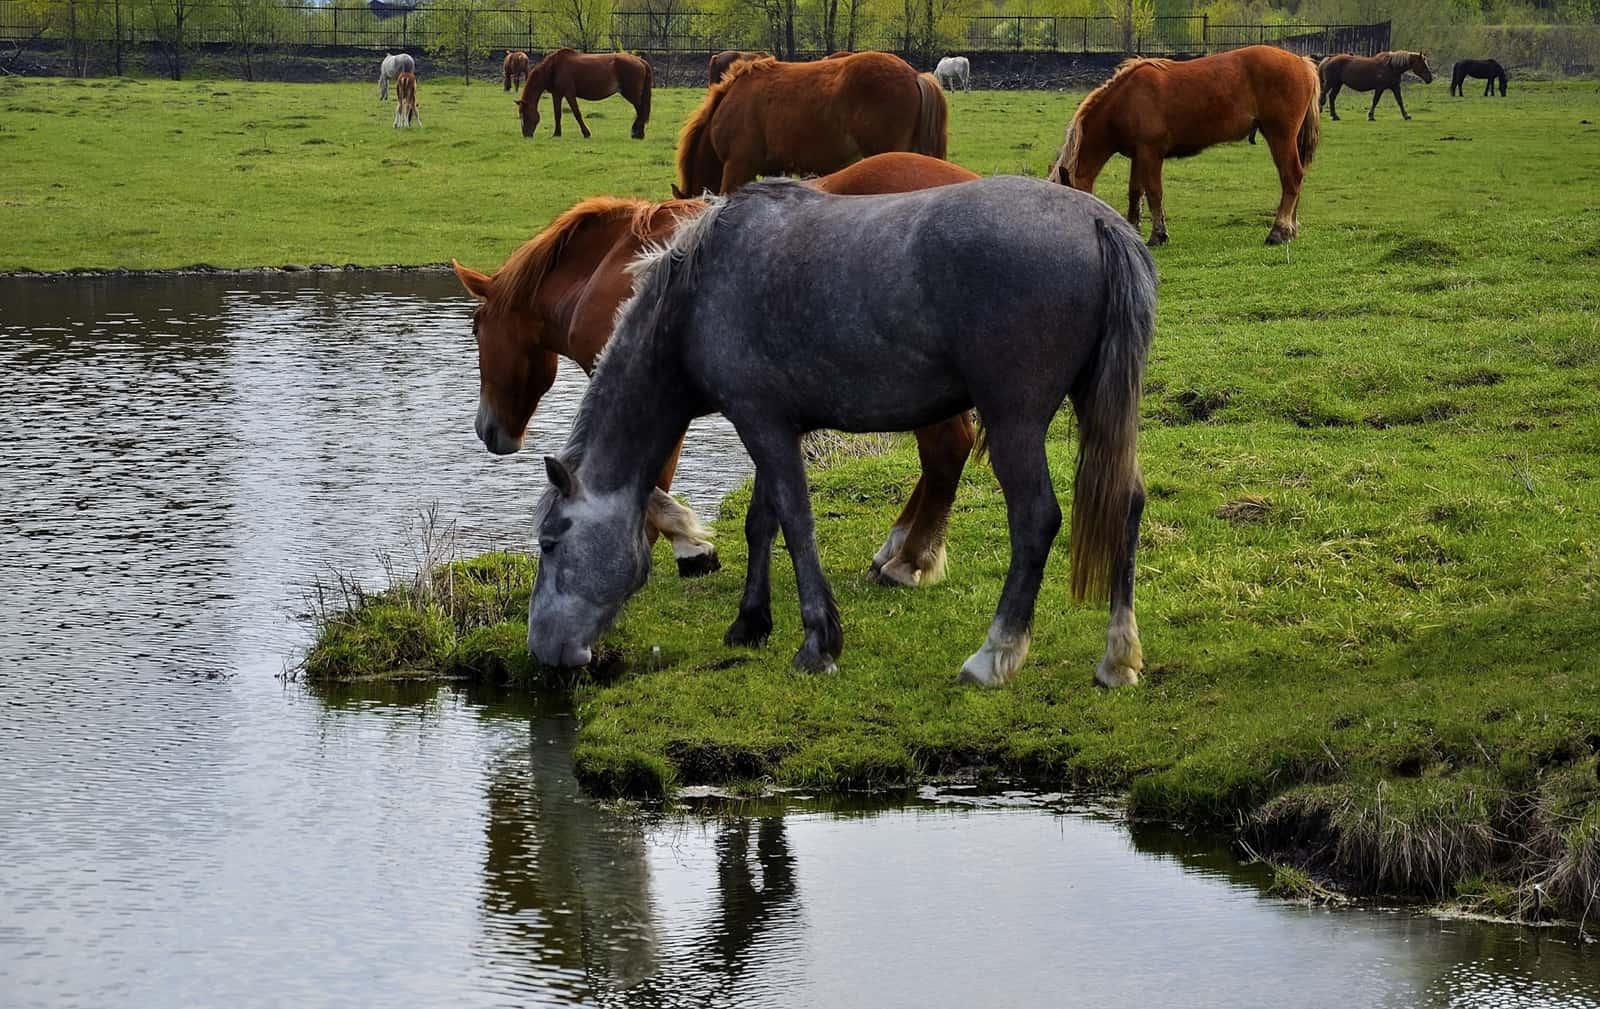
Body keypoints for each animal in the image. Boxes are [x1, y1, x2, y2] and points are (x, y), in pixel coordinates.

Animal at [444, 154, 979, 588]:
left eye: (475, 329)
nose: (487, 429)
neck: (608, 272)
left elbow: (648, 483)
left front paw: (689, 545)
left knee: (947, 452)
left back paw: (908, 562)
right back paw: (896, 550)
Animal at [518, 48, 656, 139]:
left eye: (524, 115)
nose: (526, 134)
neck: (554, 67)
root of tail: (640, 60)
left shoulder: (569, 94)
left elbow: (577, 113)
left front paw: (586, 133)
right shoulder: (557, 95)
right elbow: (557, 114)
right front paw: (557, 133)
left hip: (632, 94)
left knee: (641, 111)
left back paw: (638, 134)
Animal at [531, 177, 1158, 690]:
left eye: (550, 542)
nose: (542, 648)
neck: (697, 293)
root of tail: (1099, 222)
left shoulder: (760, 423)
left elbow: (796, 523)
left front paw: (818, 643)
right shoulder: (772, 426)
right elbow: (762, 521)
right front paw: (750, 622)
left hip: (1014, 423)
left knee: (1035, 520)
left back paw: (993, 655)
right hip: (1097, 406)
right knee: (1126, 504)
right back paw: (1118, 659)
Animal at [1043, 44, 1318, 246]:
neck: (1125, 100)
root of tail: (1301, 61)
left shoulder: (1151, 153)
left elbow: (1154, 193)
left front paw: (1158, 235)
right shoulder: (1138, 155)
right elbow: (1135, 193)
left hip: (1280, 136)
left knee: (1291, 178)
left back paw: (1278, 231)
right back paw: (1290, 230)